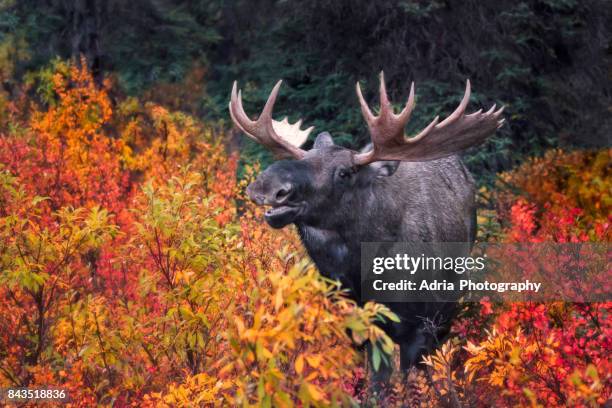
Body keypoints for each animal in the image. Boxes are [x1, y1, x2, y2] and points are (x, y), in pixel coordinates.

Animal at [227, 73, 504, 382]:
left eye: (345, 172)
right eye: (305, 158)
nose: (268, 185)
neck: (363, 269)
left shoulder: (419, 327)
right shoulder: (354, 323)